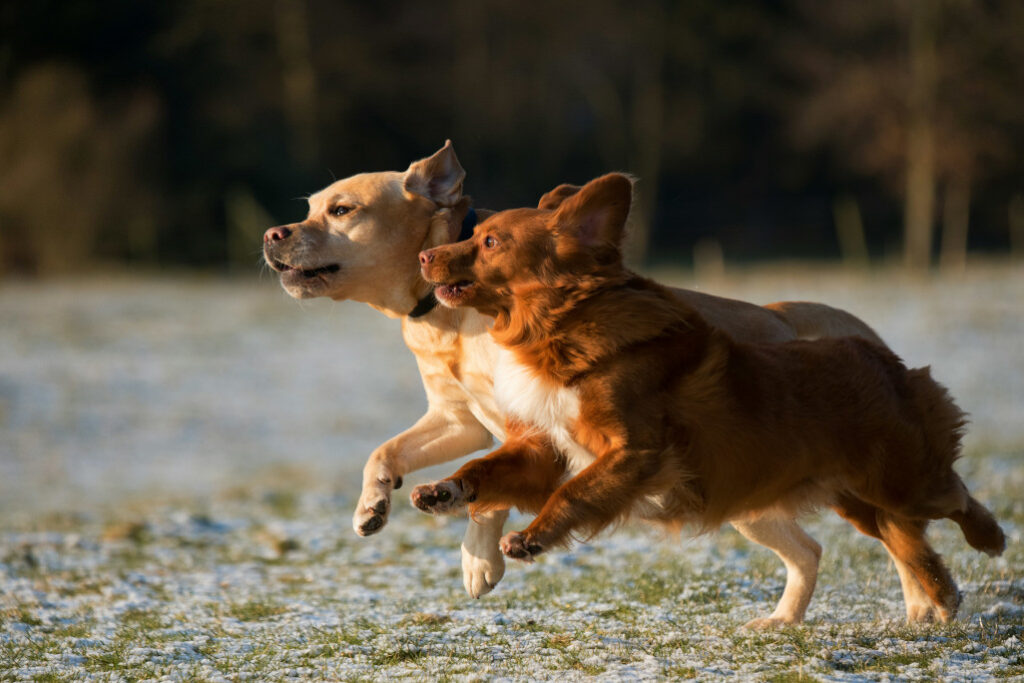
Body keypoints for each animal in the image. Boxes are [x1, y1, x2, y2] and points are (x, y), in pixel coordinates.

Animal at [262, 143, 942, 626]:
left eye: (342, 210)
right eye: (309, 207)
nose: (273, 234)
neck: (445, 317)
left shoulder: (525, 425)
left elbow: (492, 495)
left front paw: (479, 562)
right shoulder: (458, 418)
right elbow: (387, 452)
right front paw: (371, 506)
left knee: (893, 533)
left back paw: (922, 610)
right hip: (738, 497)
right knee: (810, 551)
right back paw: (783, 621)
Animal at [411, 172, 1003, 626]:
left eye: (490, 242)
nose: (423, 255)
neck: (559, 329)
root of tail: (879, 355)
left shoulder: (634, 451)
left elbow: (575, 493)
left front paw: (531, 537)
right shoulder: (549, 448)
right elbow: (487, 467)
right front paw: (443, 490)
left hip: (899, 481)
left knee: (954, 498)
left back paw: (990, 541)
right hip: (854, 498)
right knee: (895, 542)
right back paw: (927, 600)